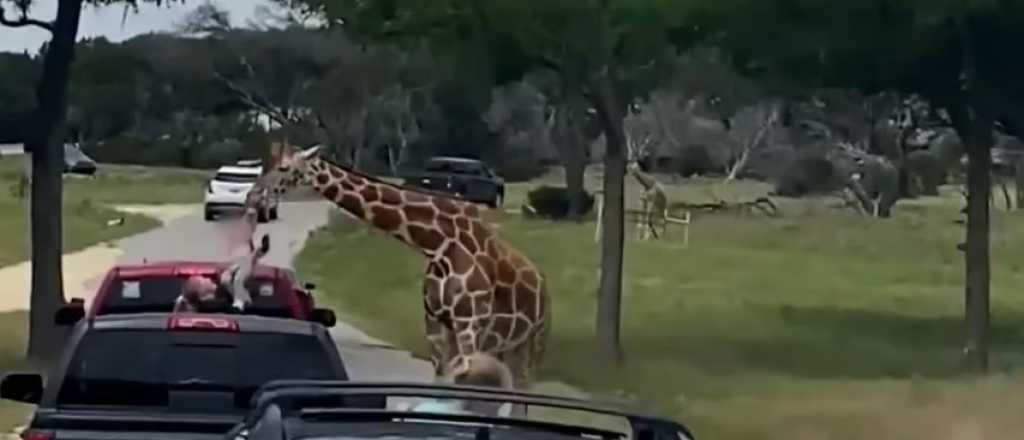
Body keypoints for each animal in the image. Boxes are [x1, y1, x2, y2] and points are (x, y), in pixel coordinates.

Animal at [250, 142, 548, 388]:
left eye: (284, 167)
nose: (254, 194)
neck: (438, 243)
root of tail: (543, 286)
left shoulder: (469, 322)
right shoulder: (435, 322)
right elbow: (440, 378)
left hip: (531, 343)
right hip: (503, 345)